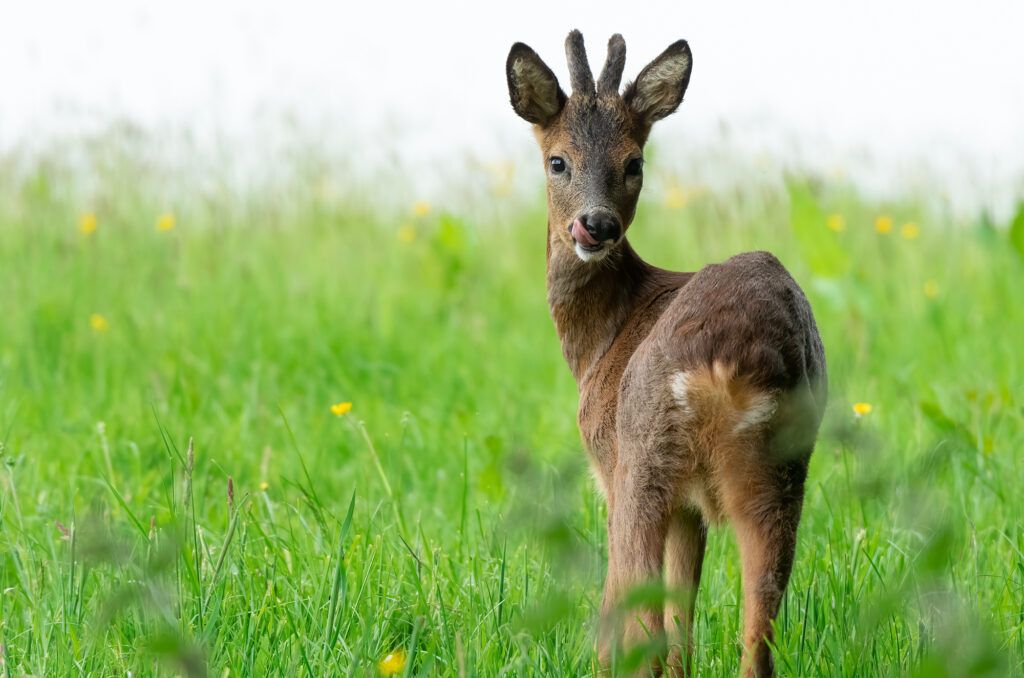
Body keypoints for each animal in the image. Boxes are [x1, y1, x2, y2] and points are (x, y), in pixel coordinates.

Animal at [507, 29, 827, 675]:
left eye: (634, 162)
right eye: (558, 161)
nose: (596, 225)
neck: (599, 341)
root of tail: (731, 359)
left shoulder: (610, 465)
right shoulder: (692, 507)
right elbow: (685, 614)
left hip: (644, 457)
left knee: (636, 617)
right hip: (782, 469)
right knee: (756, 635)